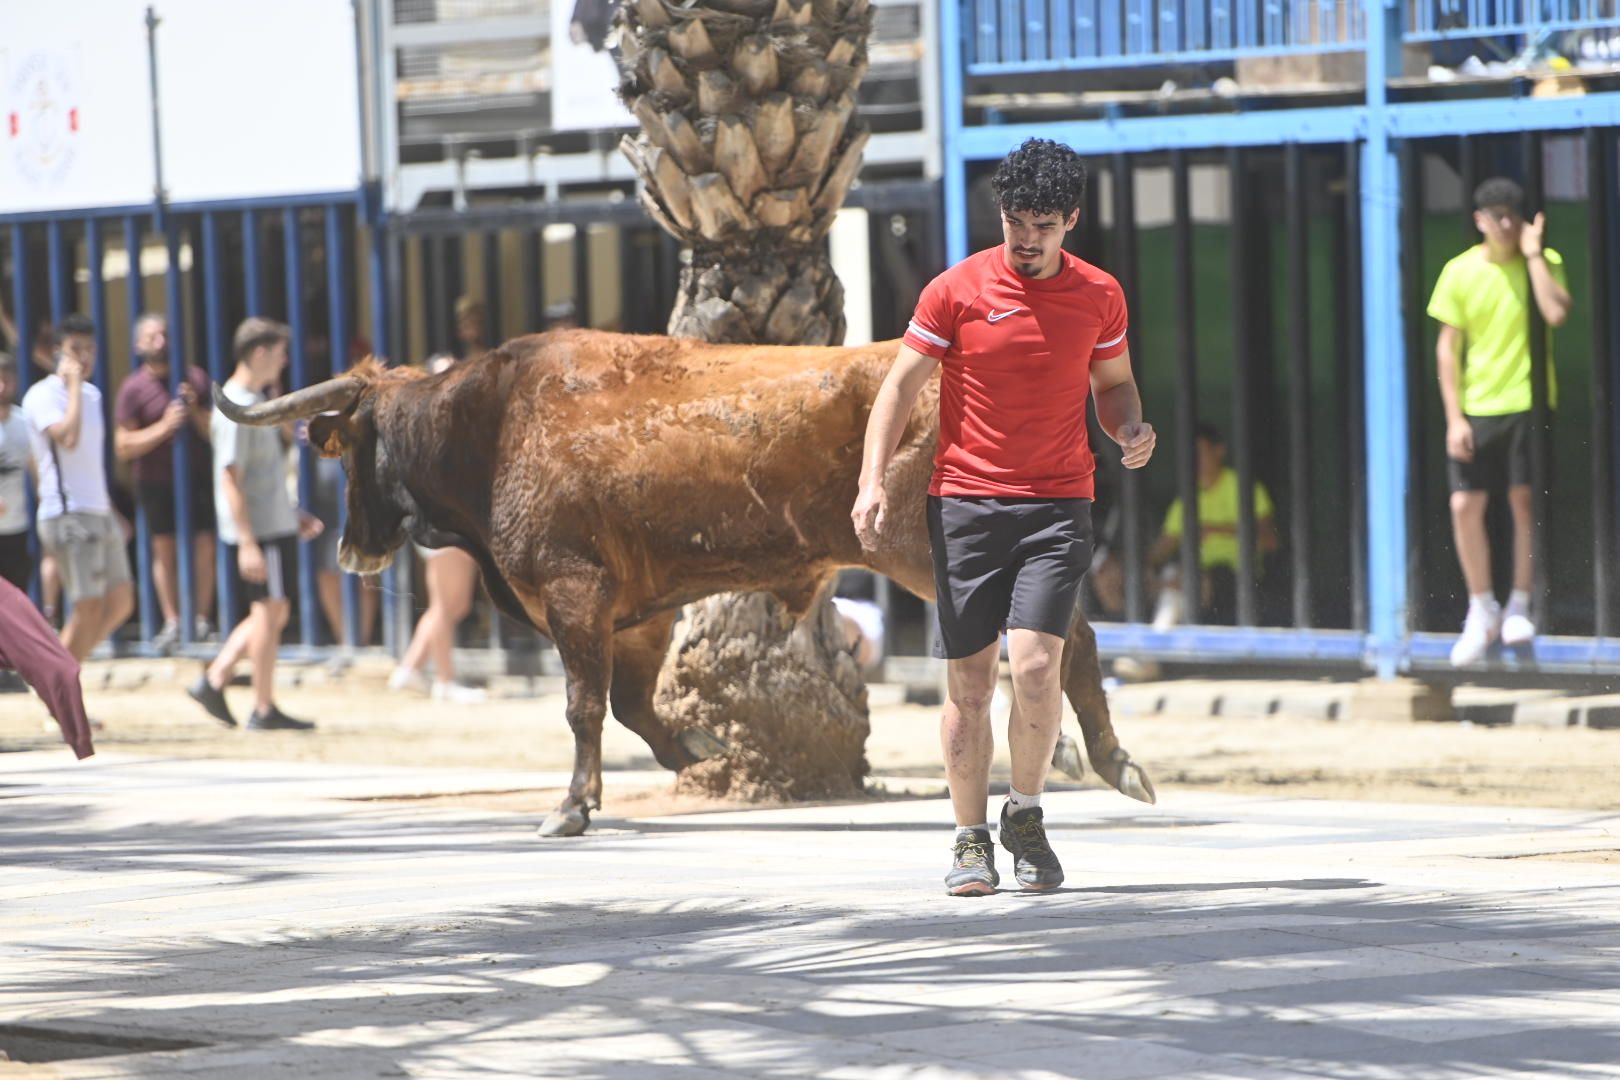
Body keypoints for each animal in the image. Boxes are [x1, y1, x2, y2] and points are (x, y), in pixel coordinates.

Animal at [218, 330, 1153, 835]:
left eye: (348, 450)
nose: (350, 549)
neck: (493, 421)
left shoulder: (574, 592)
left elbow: (583, 706)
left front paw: (572, 805)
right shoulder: (635, 612)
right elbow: (634, 704)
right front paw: (697, 749)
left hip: (926, 555)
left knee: (1066, 637)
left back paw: (1105, 757)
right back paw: (1089, 756)